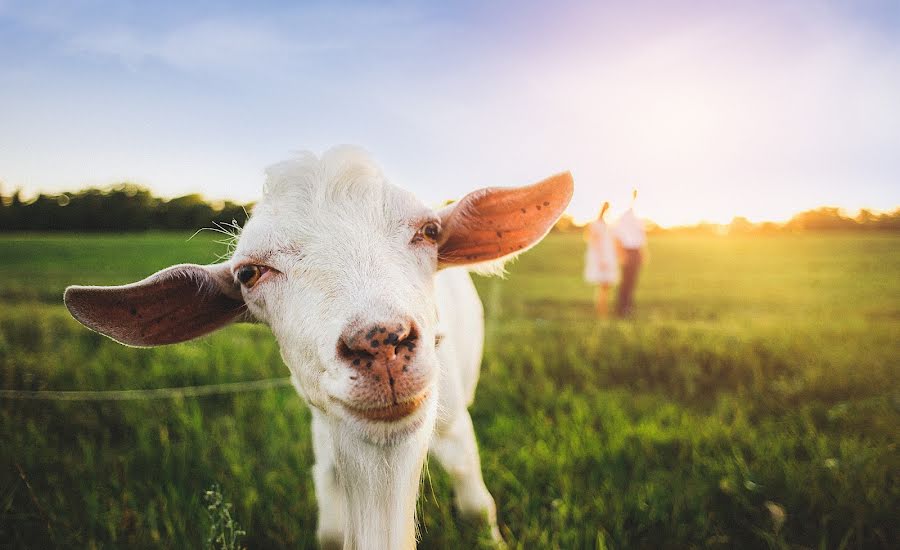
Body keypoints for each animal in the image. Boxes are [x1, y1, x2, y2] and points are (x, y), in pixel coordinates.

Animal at [63, 144, 572, 548]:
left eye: (429, 231)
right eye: (249, 273)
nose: (380, 342)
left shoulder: (453, 423)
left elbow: (477, 507)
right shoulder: (325, 449)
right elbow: (329, 530)